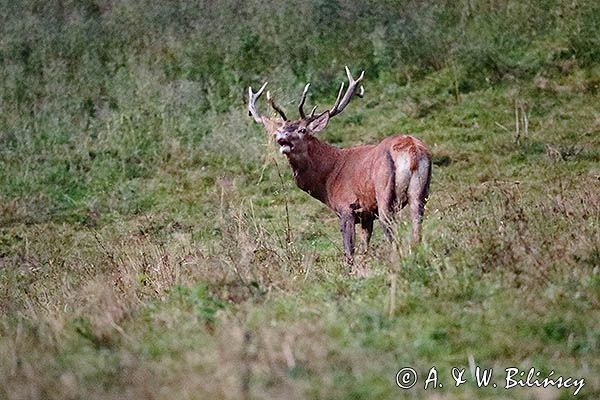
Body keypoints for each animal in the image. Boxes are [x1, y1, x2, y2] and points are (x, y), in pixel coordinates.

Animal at [248, 67, 432, 270]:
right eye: (280, 130)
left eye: (302, 130)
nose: (281, 138)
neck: (328, 178)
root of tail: (411, 149)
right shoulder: (367, 214)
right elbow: (365, 248)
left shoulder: (347, 208)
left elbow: (349, 251)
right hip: (421, 192)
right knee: (417, 227)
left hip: (384, 192)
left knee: (392, 232)